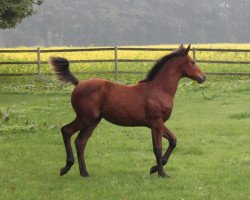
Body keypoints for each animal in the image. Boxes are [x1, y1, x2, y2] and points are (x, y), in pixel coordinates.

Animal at [49, 44, 206, 177]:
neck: (158, 89)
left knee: (80, 142)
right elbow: (157, 147)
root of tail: (78, 83)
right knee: (67, 131)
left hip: (93, 121)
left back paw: (83, 173)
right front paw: (162, 173)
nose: (203, 77)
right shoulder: (156, 122)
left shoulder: (157, 123)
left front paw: (154, 168)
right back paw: (67, 168)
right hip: (86, 119)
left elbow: (173, 140)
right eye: (192, 62)